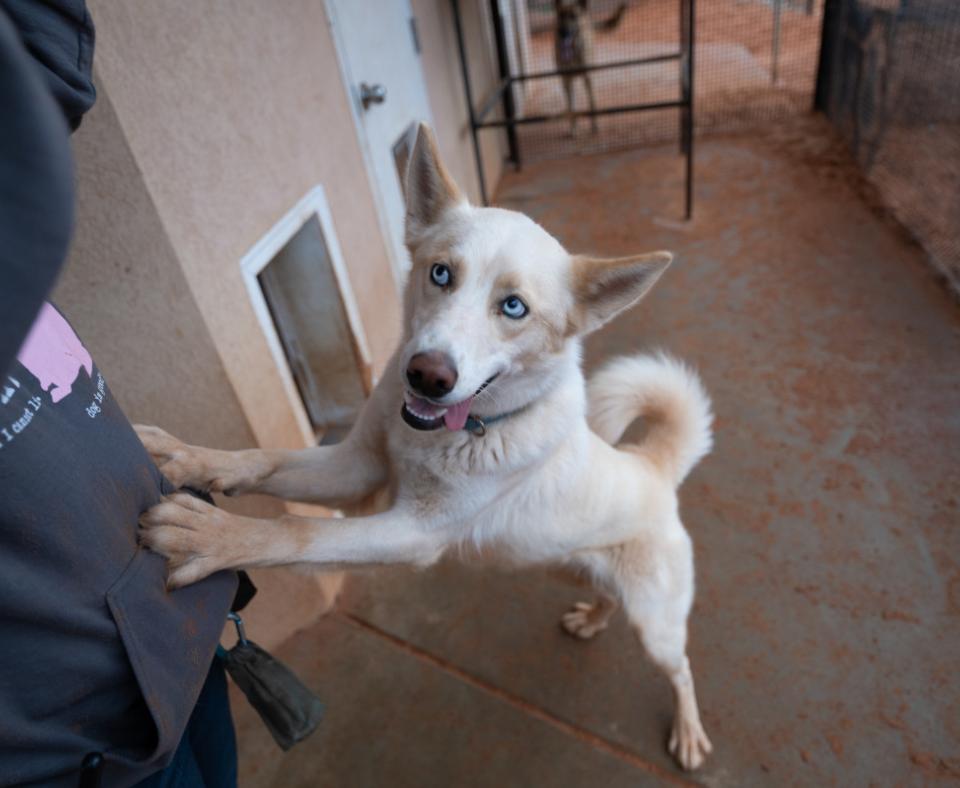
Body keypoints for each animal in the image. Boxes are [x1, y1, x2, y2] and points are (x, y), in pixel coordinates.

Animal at [139, 123, 716, 768]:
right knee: (609, 600)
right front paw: (182, 456)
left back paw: (688, 731)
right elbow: (263, 462)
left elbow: (298, 532)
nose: (426, 376)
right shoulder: (356, 466)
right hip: (584, 569)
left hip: (657, 626)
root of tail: (654, 467)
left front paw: (210, 537)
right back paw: (593, 619)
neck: (453, 433)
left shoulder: (413, 532)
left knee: (681, 668)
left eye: (513, 306)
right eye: (441, 274)